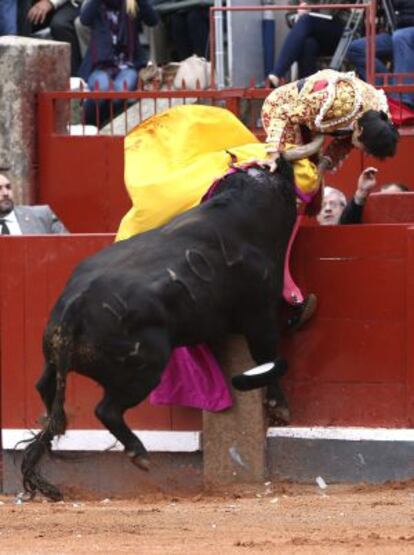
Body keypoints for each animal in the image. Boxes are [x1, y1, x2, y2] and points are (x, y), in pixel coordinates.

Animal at [21, 156, 300, 500]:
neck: (244, 213)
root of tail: (75, 304)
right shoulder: (259, 313)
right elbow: (269, 358)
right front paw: (280, 407)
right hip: (146, 369)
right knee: (106, 409)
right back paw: (139, 453)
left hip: (54, 357)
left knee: (45, 391)